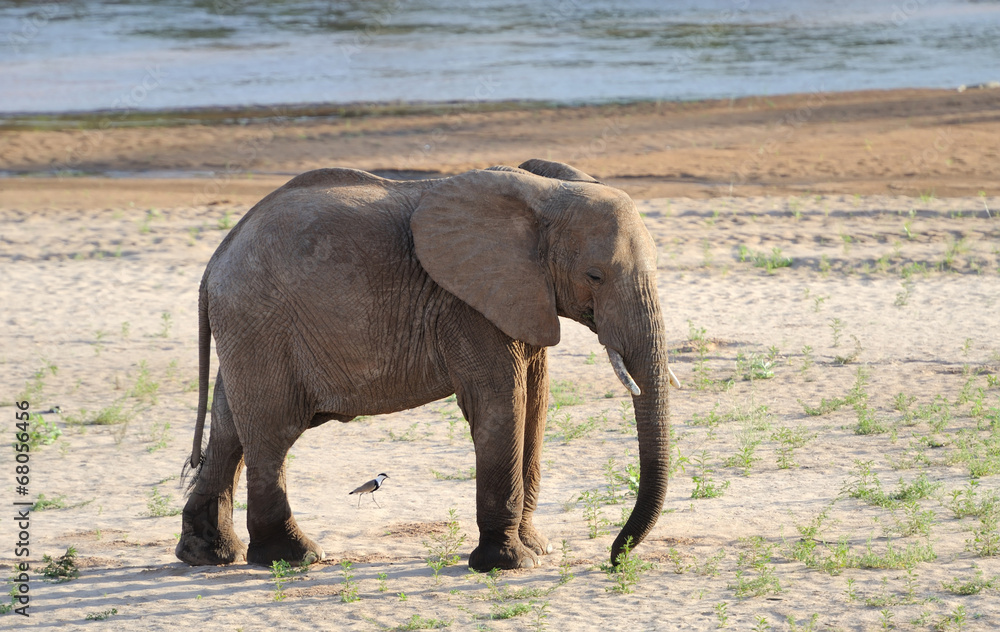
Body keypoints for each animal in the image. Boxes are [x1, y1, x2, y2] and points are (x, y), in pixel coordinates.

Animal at [176, 159, 677, 571]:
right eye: (595, 276)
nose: (614, 558)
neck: (546, 194)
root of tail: (214, 261)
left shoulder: (524, 295)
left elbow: (535, 404)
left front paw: (537, 548)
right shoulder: (465, 304)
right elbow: (502, 403)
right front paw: (509, 563)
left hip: (247, 331)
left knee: (229, 428)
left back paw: (208, 555)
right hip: (260, 323)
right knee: (271, 432)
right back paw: (294, 557)